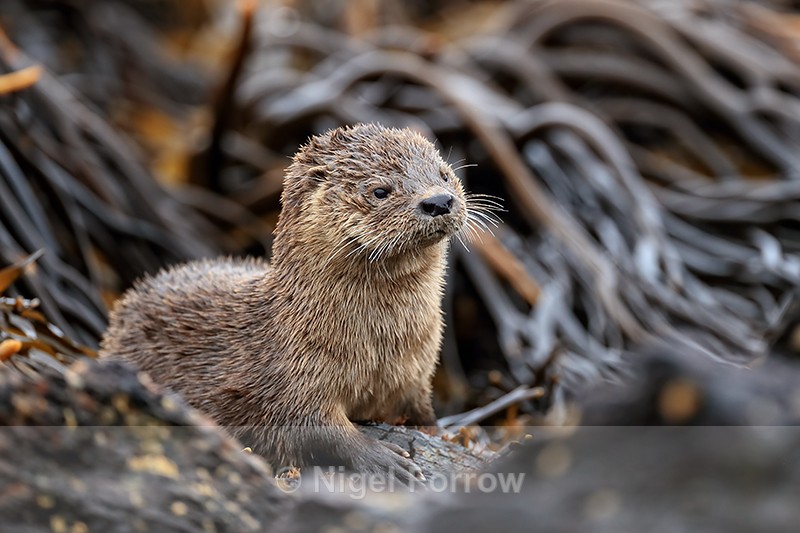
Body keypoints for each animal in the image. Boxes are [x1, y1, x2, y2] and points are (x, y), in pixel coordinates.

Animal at [100, 123, 483, 482]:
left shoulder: (416, 375)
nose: (439, 201)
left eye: (443, 173)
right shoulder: (291, 373)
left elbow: (423, 413)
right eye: (380, 191)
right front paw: (385, 459)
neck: (379, 348)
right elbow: (314, 425)